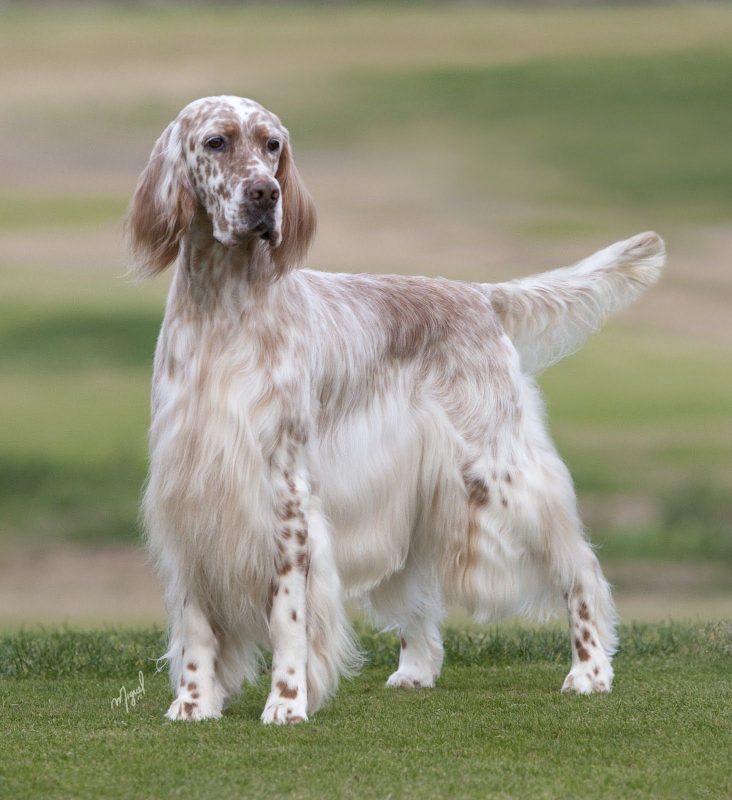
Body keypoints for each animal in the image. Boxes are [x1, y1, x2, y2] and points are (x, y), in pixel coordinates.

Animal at [129, 95, 668, 724]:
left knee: (580, 568)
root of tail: (478, 295)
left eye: (273, 145)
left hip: (502, 473)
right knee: (419, 592)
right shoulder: (188, 493)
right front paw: (193, 703)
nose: (266, 193)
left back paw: (590, 670)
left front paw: (287, 702)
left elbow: (288, 617)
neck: (224, 309)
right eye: (216, 142)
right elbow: (195, 623)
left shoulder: (287, 495)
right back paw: (416, 670)